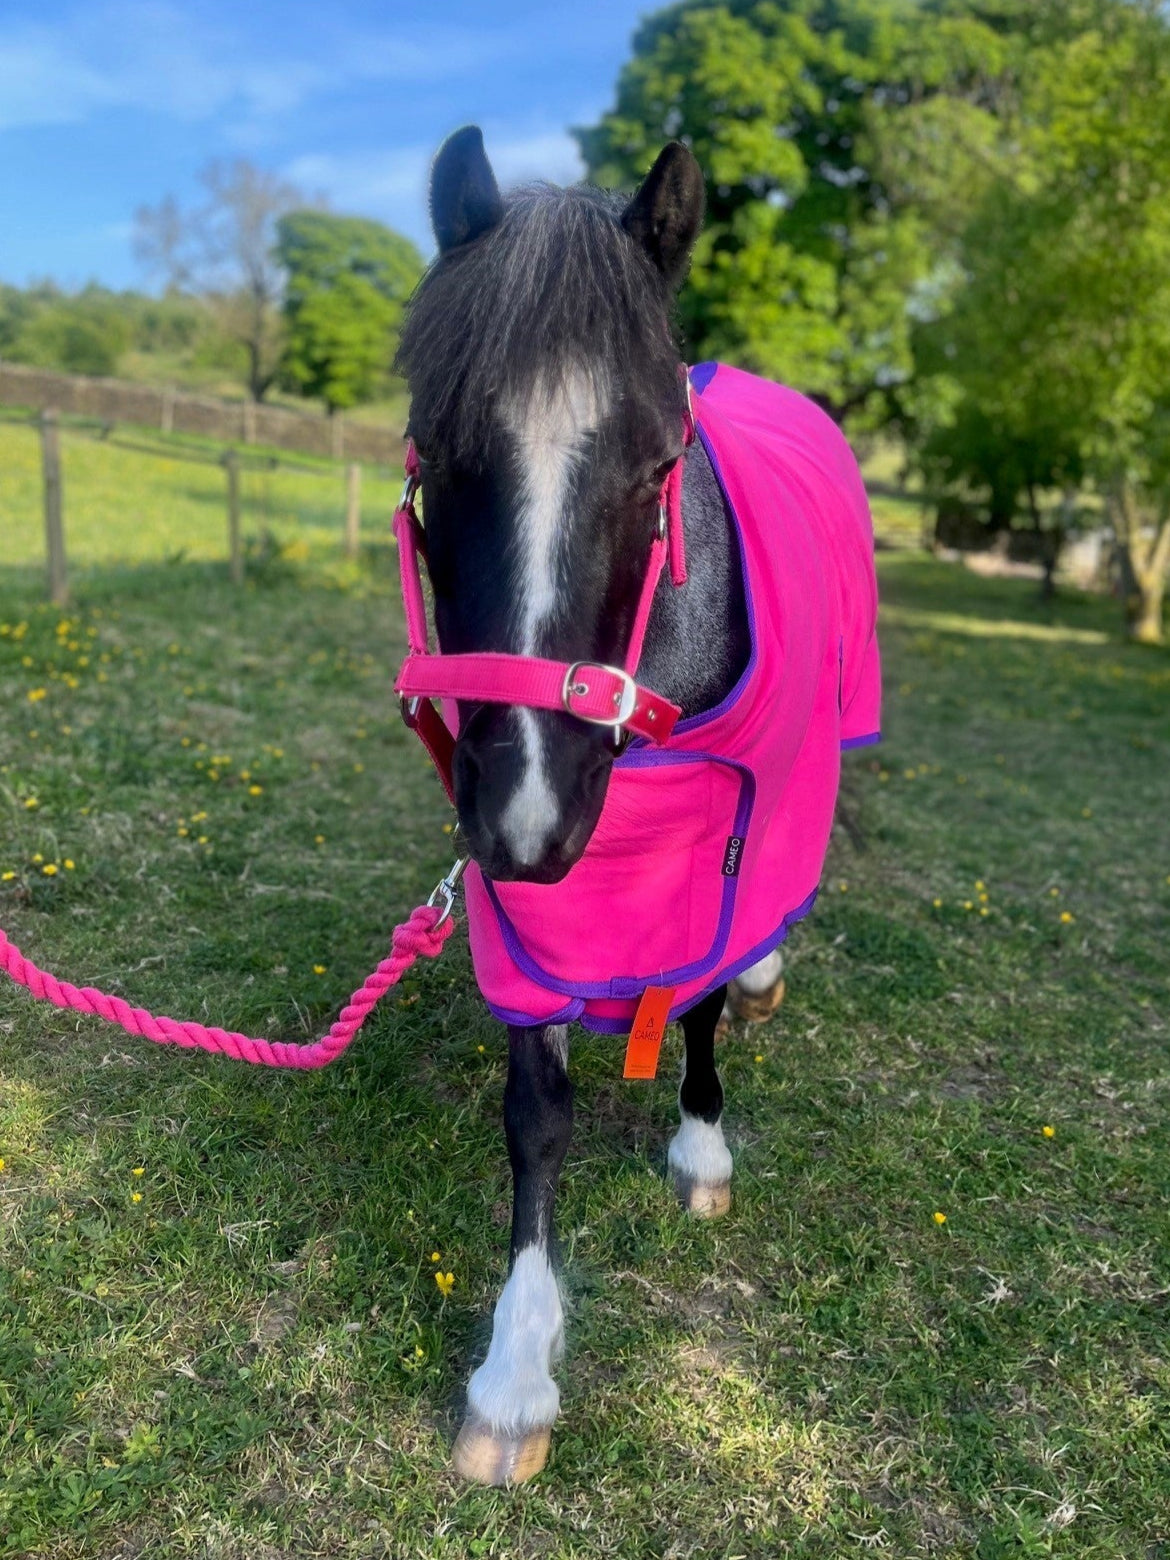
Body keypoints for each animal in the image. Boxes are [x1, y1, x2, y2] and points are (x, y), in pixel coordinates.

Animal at [393, 126, 880, 1485]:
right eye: (433, 450)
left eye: (661, 463)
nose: (529, 819)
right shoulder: (521, 912)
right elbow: (537, 1112)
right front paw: (515, 1372)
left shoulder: (734, 832)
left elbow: (700, 992)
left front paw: (702, 1143)